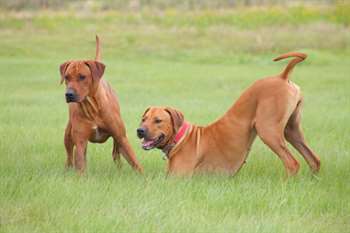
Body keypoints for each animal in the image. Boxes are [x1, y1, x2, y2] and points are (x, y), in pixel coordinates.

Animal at [59, 36, 142, 175]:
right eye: (66, 77)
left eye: (82, 77)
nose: (69, 94)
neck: (92, 108)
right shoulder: (80, 141)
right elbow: (79, 160)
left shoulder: (121, 137)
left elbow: (135, 162)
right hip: (68, 134)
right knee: (70, 156)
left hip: (117, 139)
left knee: (116, 153)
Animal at [137, 52, 320, 177]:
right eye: (143, 119)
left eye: (158, 120)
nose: (140, 131)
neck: (180, 138)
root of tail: (282, 77)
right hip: (291, 130)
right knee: (314, 160)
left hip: (268, 130)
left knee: (292, 163)